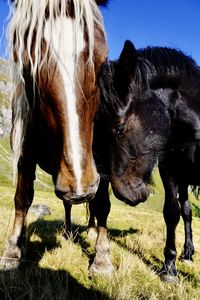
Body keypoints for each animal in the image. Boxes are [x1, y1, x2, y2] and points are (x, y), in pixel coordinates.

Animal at [1, 0, 108, 270]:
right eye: (27, 68)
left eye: (103, 63)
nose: (81, 187)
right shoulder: (25, 157)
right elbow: (22, 198)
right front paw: (13, 250)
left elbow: (101, 203)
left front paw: (102, 258)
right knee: (68, 204)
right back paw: (68, 229)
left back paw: (91, 230)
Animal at [89, 40, 200, 282]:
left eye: (120, 128)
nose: (126, 195)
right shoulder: (170, 170)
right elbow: (172, 213)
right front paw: (169, 267)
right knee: (187, 212)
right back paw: (187, 253)